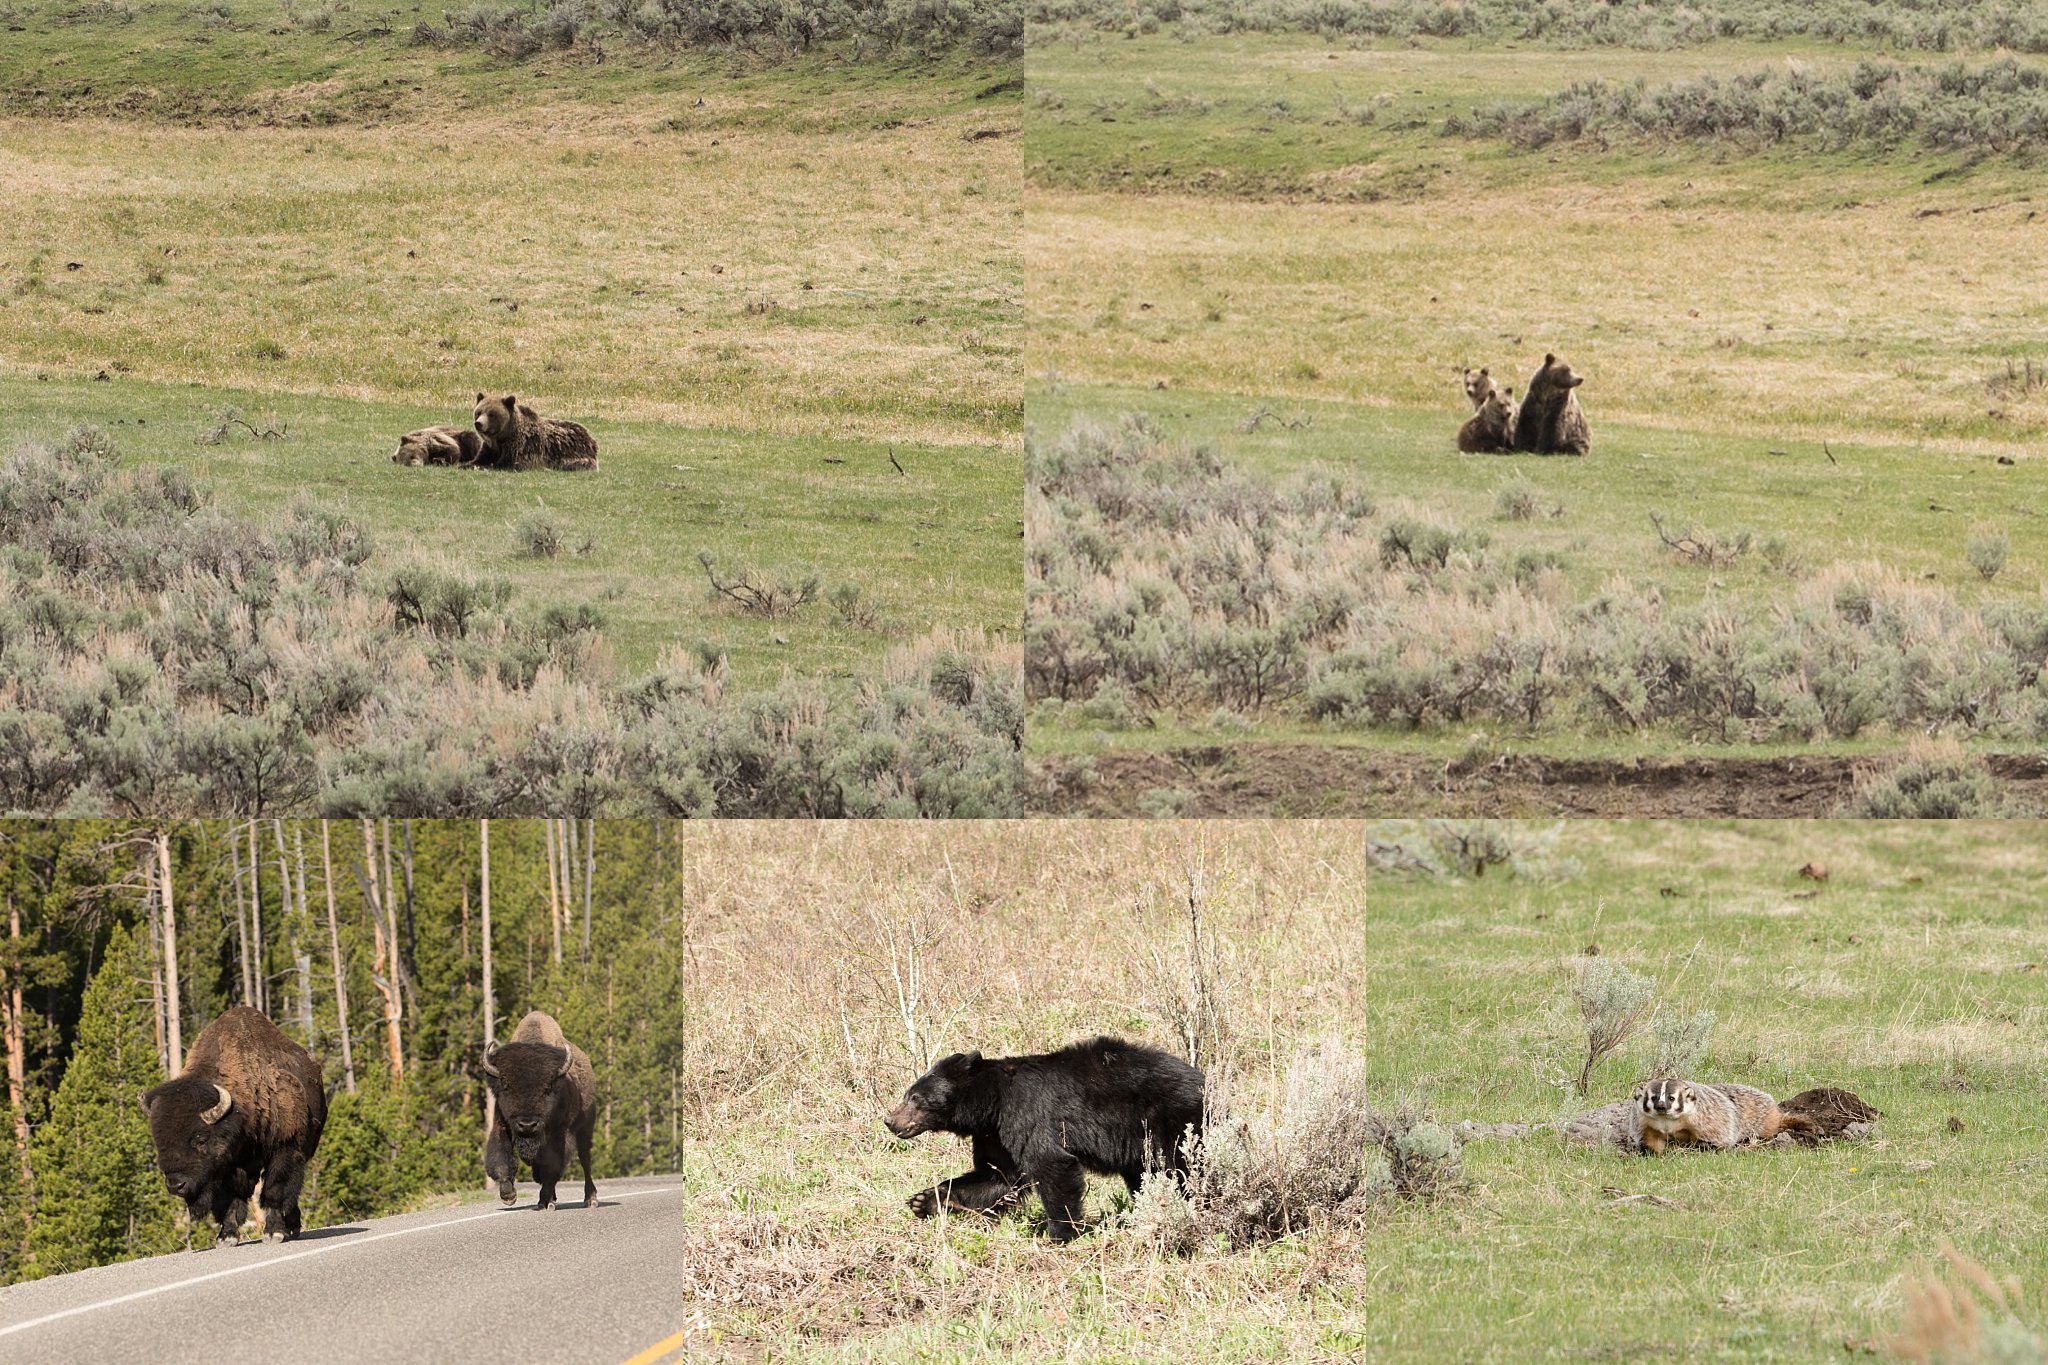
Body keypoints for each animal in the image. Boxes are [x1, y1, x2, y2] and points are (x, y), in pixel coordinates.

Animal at [140, 1002, 327, 1252]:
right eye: (160, 1143)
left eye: (200, 1139)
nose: (176, 1185)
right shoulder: (224, 1168)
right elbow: (228, 1202)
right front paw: (226, 1238)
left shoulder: (284, 1150)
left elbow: (274, 1191)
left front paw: (274, 1232)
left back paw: (291, 1227)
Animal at [481, 1010, 598, 1211]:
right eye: (506, 1085)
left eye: (547, 1088)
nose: (527, 1124)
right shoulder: (502, 1124)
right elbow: (501, 1157)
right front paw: (508, 1195)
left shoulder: (559, 1135)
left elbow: (551, 1166)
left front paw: (545, 1200)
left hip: (585, 1128)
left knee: (585, 1160)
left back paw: (590, 1199)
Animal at [880, 1035, 1196, 1252]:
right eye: (909, 1094)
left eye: (916, 1098)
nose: (890, 1121)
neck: (992, 1104)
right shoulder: (994, 1135)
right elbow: (998, 1177)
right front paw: (926, 1200)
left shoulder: (1026, 1113)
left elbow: (1051, 1164)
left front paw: (1060, 1235)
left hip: (1170, 1124)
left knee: (1183, 1171)